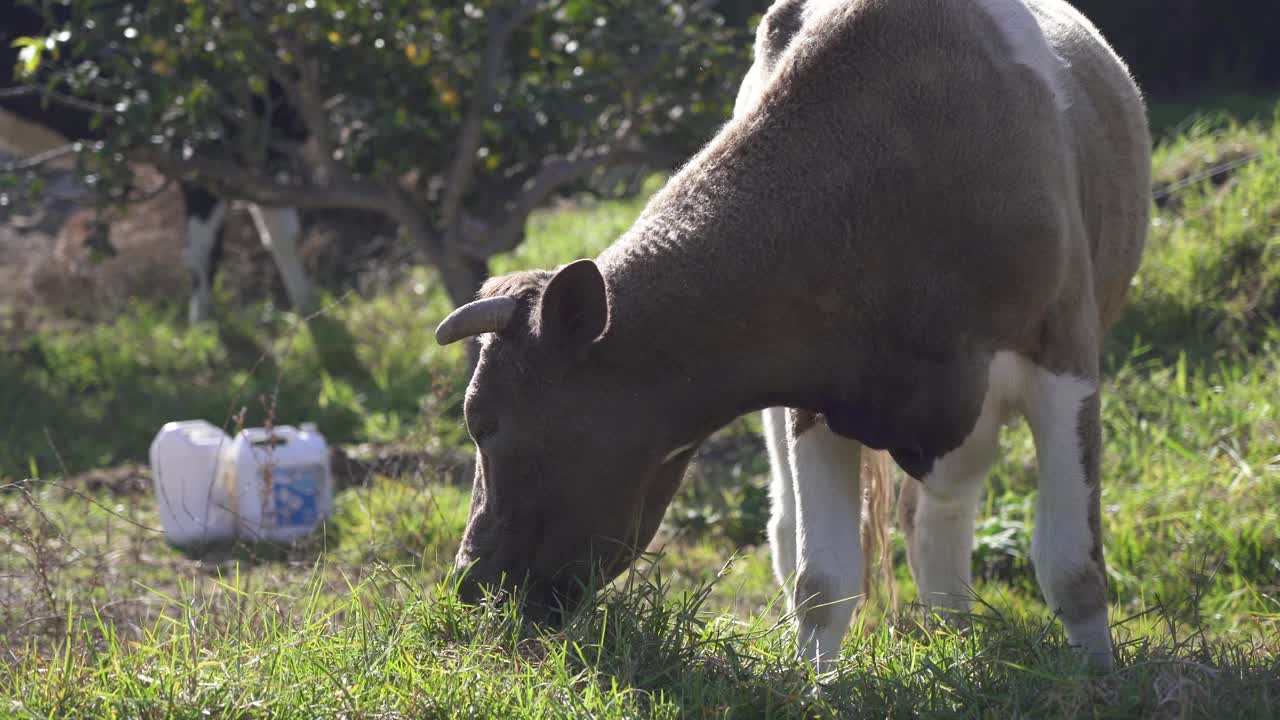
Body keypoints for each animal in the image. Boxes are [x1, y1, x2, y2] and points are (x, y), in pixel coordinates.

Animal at [1, 2, 316, 322]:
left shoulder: (259, 149)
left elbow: (279, 234)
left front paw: (307, 314)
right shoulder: (207, 152)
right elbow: (204, 258)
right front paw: (200, 332)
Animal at [435, 0, 1157, 671]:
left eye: (484, 424)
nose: (468, 586)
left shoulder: (1064, 356)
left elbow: (1073, 564)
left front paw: (1095, 678)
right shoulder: (815, 390)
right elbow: (822, 579)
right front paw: (814, 686)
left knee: (940, 514)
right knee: (816, 530)